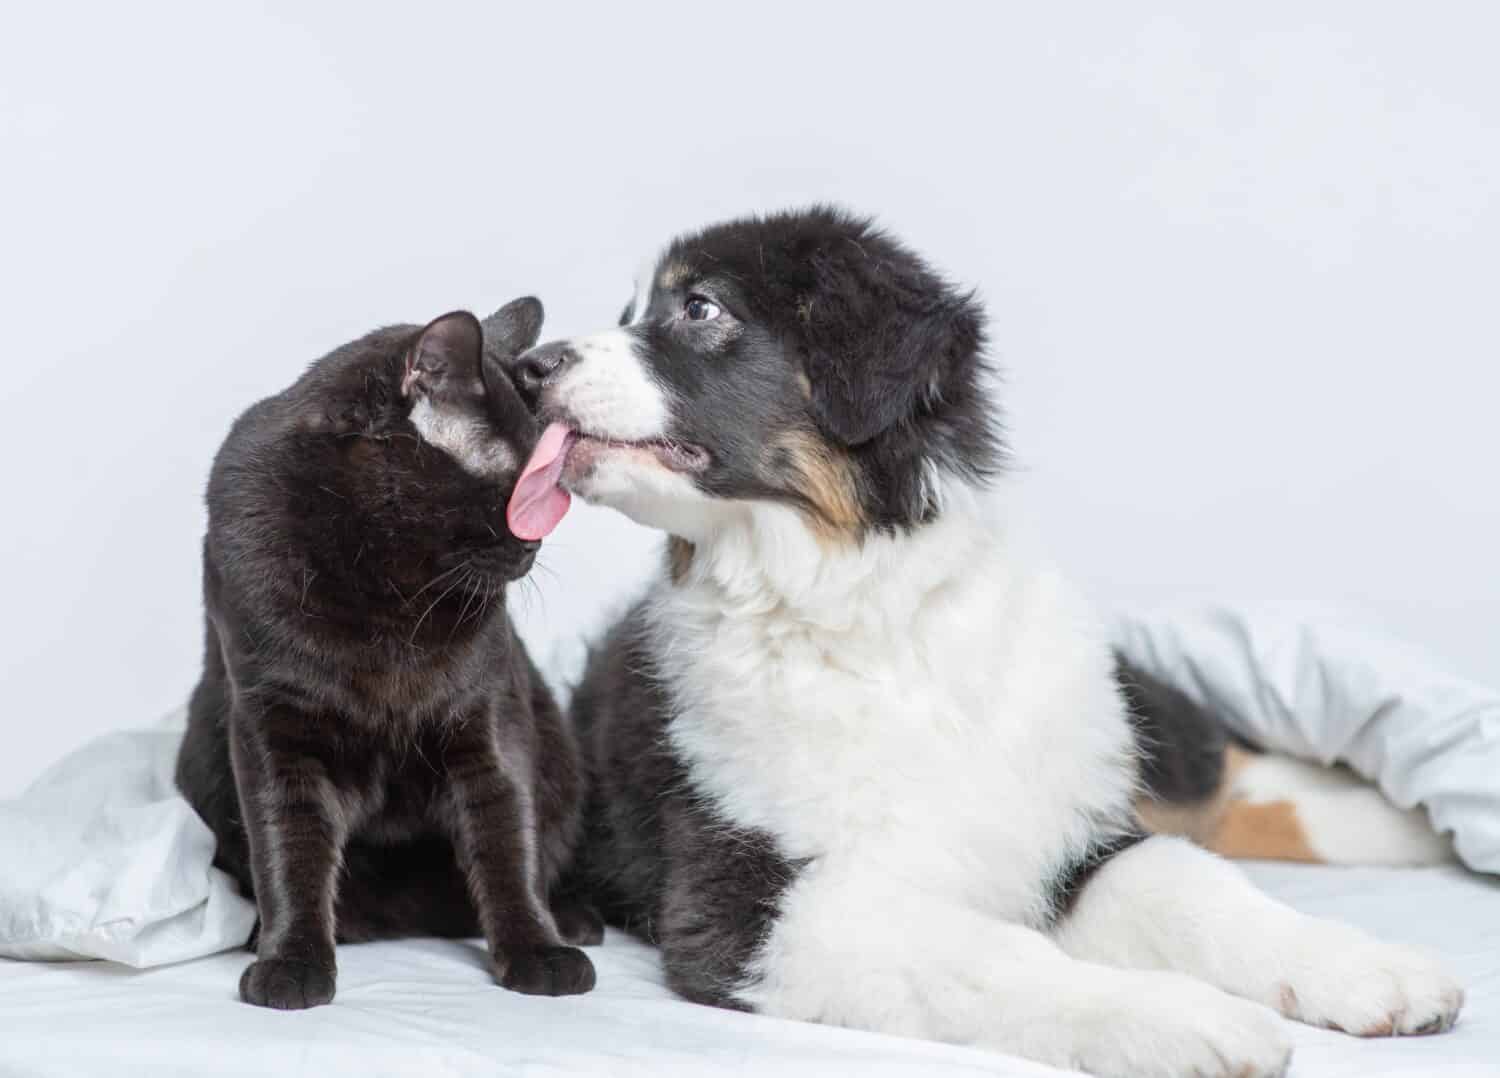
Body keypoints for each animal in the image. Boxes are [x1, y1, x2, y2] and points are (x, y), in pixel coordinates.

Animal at [175, 299, 597, 1007]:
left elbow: (509, 839)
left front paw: (539, 950)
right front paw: (291, 962)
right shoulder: (273, 727)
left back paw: (572, 918)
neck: (389, 599)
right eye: (517, 492)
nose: (533, 548)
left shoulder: (489, 719)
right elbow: (285, 847)